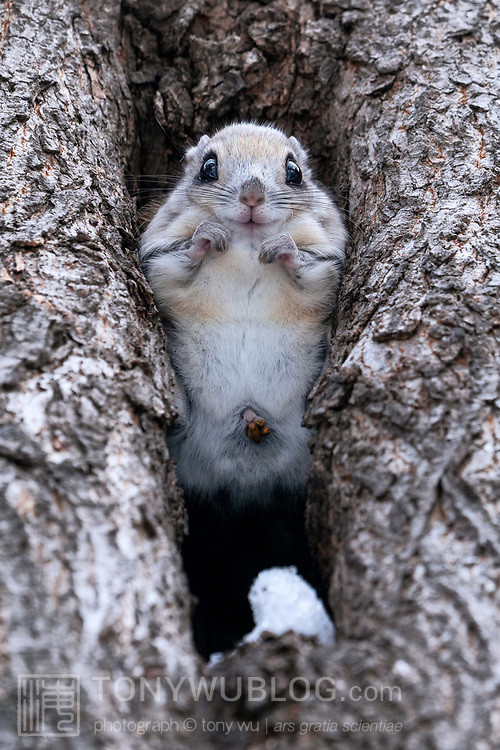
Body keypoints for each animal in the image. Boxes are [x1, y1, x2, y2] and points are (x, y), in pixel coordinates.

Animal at [140, 123, 346, 655]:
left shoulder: (328, 260)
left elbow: (308, 267)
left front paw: (282, 249)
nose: (252, 196)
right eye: (207, 167)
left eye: (294, 172)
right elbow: (179, 260)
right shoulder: (159, 253)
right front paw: (207, 238)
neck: (247, 247)